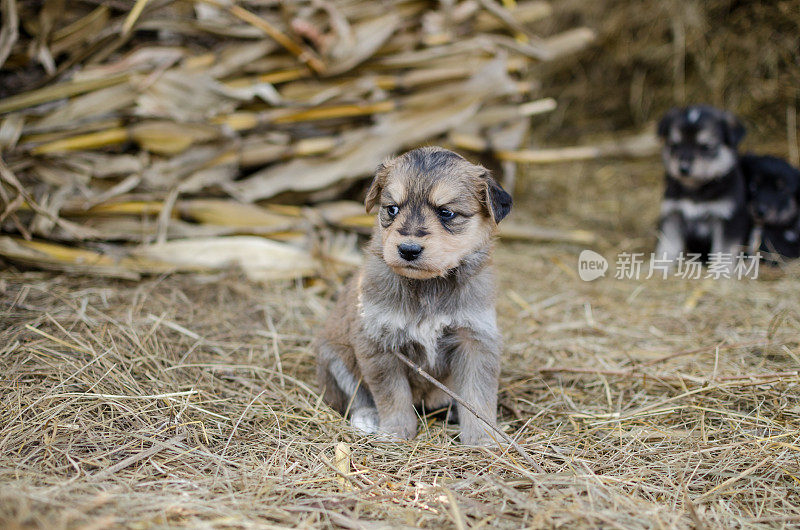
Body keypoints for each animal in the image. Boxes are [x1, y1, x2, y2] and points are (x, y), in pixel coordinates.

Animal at [314, 146, 512, 444]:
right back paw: (367, 418)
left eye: (446, 213)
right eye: (392, 209)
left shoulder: (475, 339)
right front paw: (395, 432)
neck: (427, 286)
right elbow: (392, 395)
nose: (408, 249)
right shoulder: (379, 343)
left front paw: (482, 439)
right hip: (334, 358)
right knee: (355, 396)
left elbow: (477, 396)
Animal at [656, 104, 752, 262]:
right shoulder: (673, 216)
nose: (684, 168)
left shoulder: (728, 220)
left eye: (705, 147)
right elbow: (667, 247)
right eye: (675, 145)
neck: (696, 190)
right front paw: (658, 266)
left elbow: (723, 251)